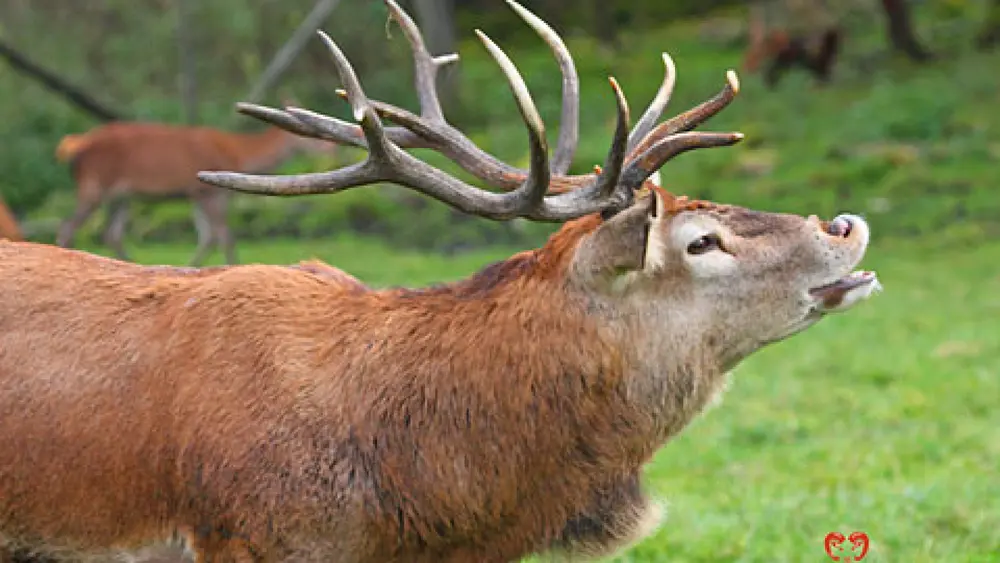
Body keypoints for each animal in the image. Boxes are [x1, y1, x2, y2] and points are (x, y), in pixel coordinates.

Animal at [53, 115, 330, 266]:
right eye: (308, 137)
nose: (328, 151)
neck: (238, 155)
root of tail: (74, 146)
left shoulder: (196, 194)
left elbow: (208, 236)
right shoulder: (209, 193)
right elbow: (223, 235)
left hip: (121, 196)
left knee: (112, 233)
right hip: (95, 184)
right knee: (68, 226)